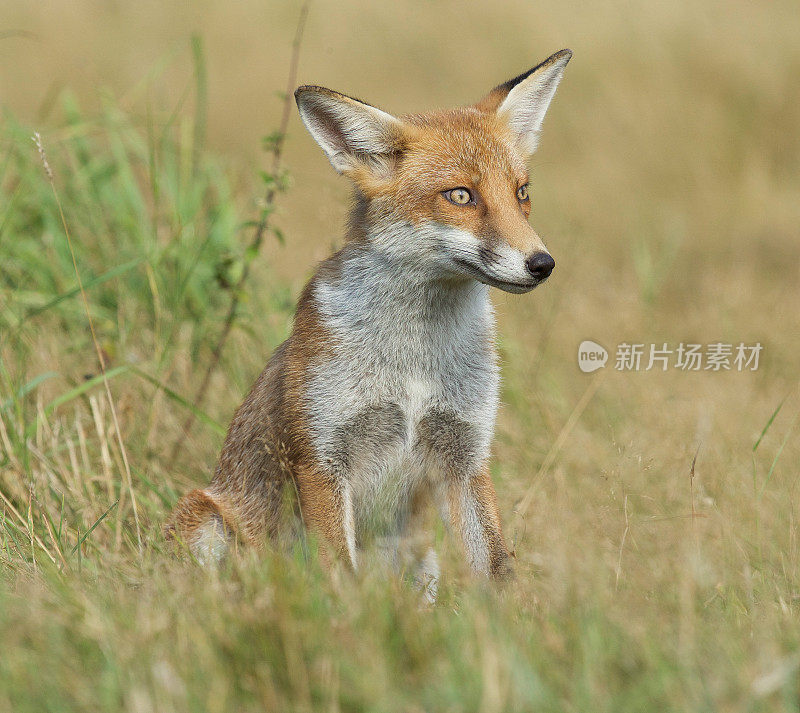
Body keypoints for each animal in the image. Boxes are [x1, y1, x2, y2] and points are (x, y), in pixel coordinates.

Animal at [166, 48, 572, 584]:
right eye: (460, 195)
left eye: (522, 192)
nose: (542, 264)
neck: (415, 360)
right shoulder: (323, 456)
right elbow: (339, 572)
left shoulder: (465, 456)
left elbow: (497, 571)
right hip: (204, 519)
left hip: (424, 564)